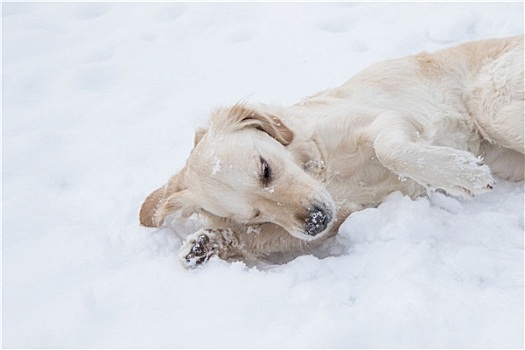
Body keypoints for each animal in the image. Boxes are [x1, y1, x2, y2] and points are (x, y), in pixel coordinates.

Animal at [140, 36, 524, 268]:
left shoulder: (384, 119)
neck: (323, 168)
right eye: (254, 214)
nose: (314, 221)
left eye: (265, 169)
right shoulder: (337, 217)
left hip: (493, 111)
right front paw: (205, 243)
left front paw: (464, 174)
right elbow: (262, 239)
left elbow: (389, 149)